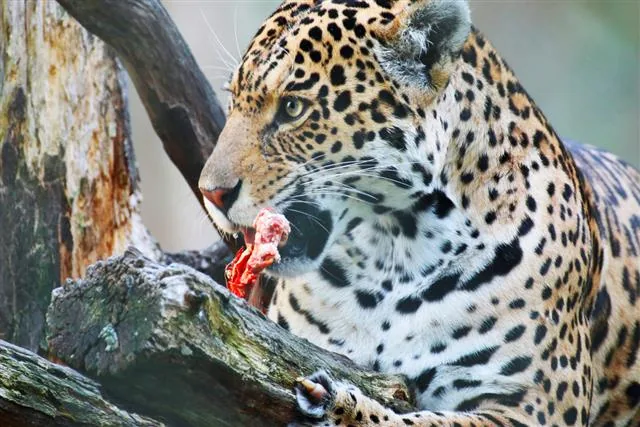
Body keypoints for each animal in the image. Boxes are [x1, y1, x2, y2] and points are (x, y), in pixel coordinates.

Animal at [198, 0, 640, 425]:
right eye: (232, 101)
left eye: (292, 108)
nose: (211, 193)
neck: (390, 253)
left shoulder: (531, 408)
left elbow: (424, 421)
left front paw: (342, 407)